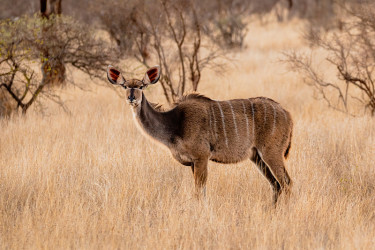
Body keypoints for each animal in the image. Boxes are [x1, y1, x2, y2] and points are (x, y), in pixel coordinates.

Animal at [107, 65, 296, 203]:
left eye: (141, 86)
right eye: (125, 86)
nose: (132, 98)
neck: (175, 123)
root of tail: (287, 114)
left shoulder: (201, 157)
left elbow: (200, 192)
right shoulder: (192, 163)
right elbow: (200, 192)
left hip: (271, 153)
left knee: (286, 183)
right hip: (256, 157)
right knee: (276, 185)